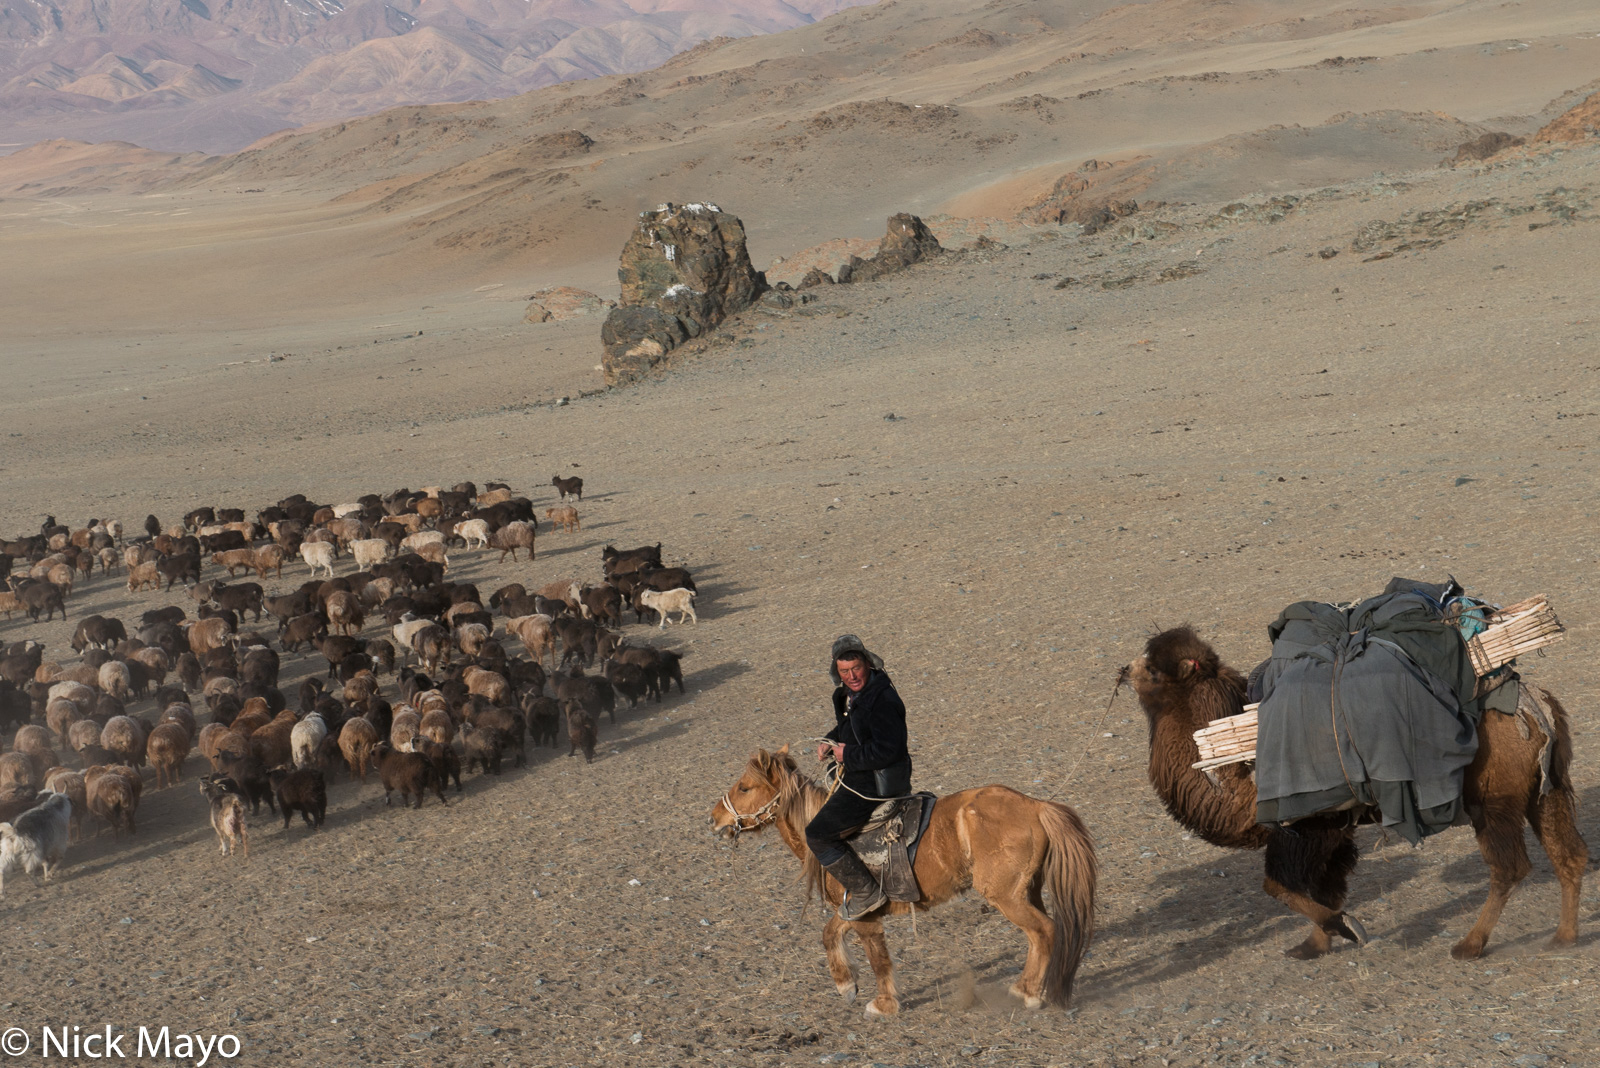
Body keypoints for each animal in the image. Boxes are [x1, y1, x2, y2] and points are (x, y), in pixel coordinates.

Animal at [713, 748, 1100, 1016]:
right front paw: (845, 984)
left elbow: (878, 959)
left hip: (1007, 897)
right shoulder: (855, 907)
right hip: (1028, 891)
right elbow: (829, 933)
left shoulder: (866, 915)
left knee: (1044, 931)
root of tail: (1036, 806)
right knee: (1041, 934)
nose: (715, 817)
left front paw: (883, 1004)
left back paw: (1028, 993)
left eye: (745, 787)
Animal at [1126, 626, 1587, 959]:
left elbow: (1279, 887)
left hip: (1493, 804)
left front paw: (1345, 927)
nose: (1124, 669)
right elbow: (1327, 885)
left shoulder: (1308, 827)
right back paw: (1563, 938)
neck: (1235, 774)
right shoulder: (1336, 833)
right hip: (1545, 790)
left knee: (1510, 868)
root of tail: (1536, 706)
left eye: (1154, 671)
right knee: (1569, 853)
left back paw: (1469, 946)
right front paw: (1312, 945)